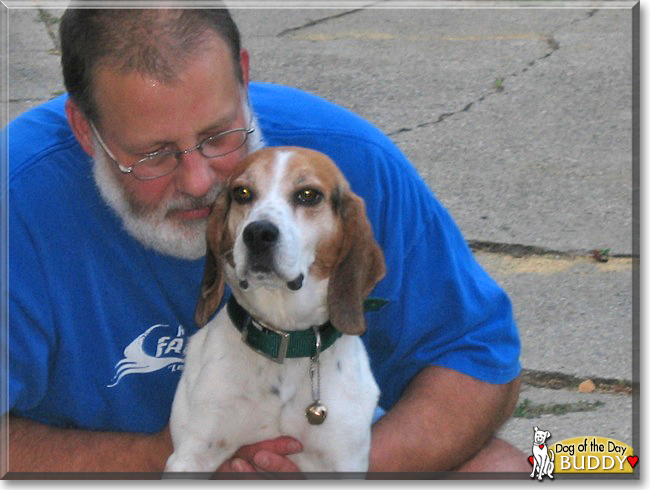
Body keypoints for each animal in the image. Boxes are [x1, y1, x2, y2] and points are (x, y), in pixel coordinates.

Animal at [165, 146, 384, 474]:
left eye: (308, 195)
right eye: (242, 192)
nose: (258, 233)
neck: (284, 337)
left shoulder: (343, 462)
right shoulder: (192, 455)